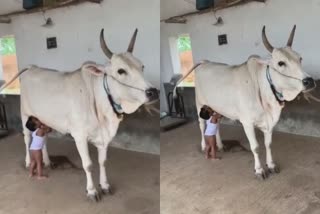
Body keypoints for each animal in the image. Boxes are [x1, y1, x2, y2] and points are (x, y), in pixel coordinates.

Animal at [0, 28, 159, 201]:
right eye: (121, 70)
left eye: (142, 66)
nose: (153, 92)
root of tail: (32, 67)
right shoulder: (79, 136)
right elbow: (88, 164)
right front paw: (92, 191)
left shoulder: (104, 138)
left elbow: (102, 162)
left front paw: (105, 185)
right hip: (25, 114)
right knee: (27, 138)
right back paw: (29, 162)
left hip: (44, 119)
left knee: (43, 138)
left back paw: (47, 162)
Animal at [176, 25, 316, 179]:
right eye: (281, 63)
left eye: (300, 58)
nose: (309, 81)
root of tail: (205, 62)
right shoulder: (247, 122)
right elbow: (255, 147)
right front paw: (259, 170)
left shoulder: (269, 123)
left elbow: (268, 144)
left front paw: (271, 165)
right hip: (200, 104)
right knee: (201, 125)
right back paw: (203, 146)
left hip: (217, 108)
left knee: (216, 125)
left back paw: (220, 145)